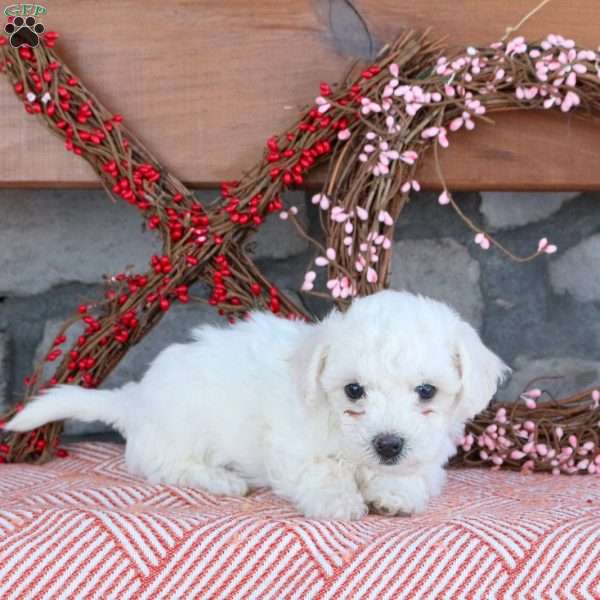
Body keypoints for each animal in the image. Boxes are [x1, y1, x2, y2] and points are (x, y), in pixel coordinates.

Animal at [7, 292, 508, 520]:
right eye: (353, 391)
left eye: (426, 392)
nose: (388, 444)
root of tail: (133, 399)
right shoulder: (294, 445)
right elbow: (322, 471)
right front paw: (340, 500)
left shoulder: (427, 452)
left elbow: (414, 474)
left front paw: (395, 492)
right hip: (180, 432)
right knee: (166, 466)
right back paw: (222, 479)